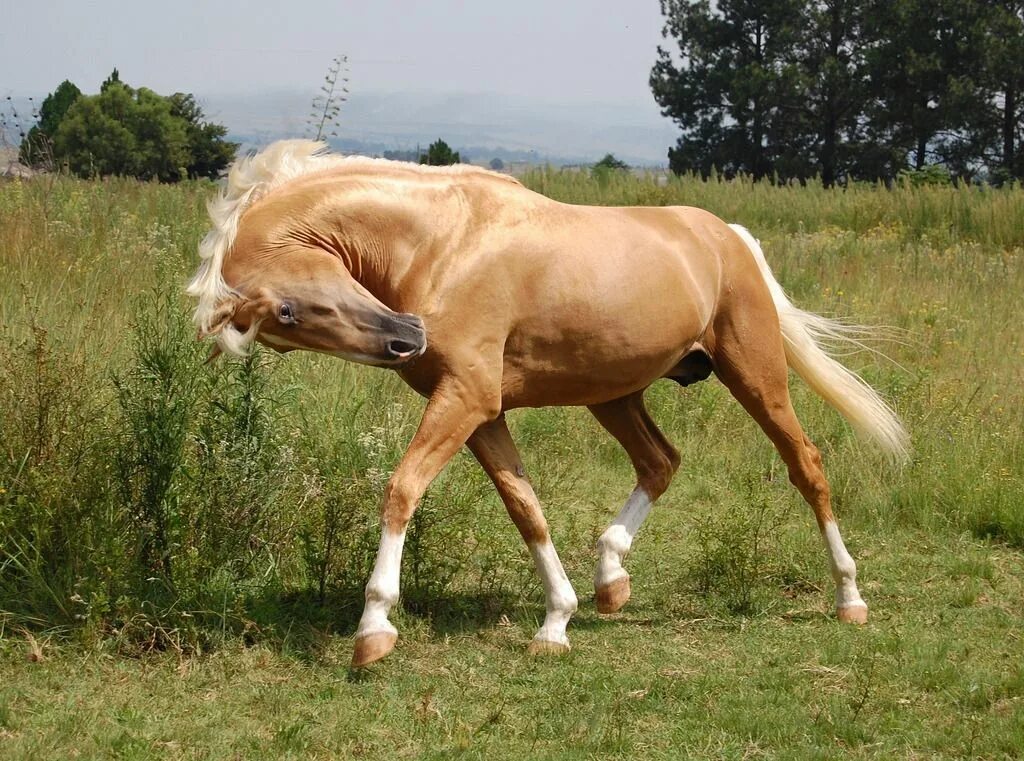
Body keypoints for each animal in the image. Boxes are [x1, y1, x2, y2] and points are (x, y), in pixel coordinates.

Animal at [188, 141, 909, 667]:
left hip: (754, 373)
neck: (444, 242)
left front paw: (374, 626)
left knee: (806, 464)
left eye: (285, 309)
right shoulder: (482, 411)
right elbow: (524, 506)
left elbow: (402, 487)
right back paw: (611, 577)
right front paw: (556, 621)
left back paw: (849, 596)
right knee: (660, 461)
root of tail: (728, 234)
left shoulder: (465, 398)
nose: (406, 337)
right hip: (614, 394)